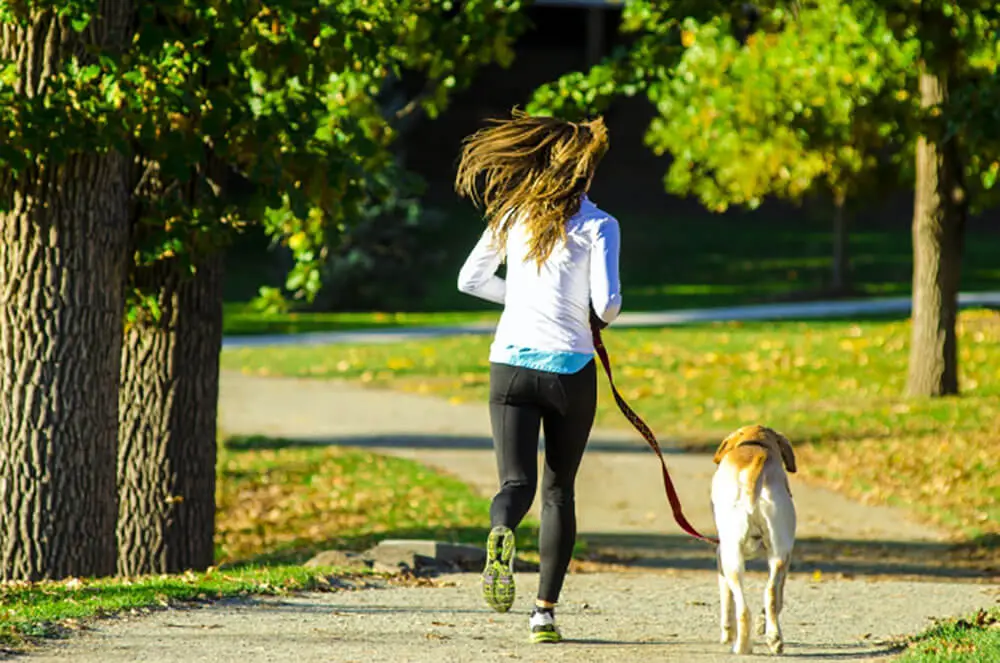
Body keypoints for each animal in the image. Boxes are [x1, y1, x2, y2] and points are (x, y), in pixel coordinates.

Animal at [712, 426, 796, 652]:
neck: (755, 443)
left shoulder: (720, 557)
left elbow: (726, 601)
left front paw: (726, 634)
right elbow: (779, 598)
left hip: (731, 560)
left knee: (742, 608)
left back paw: (741, 647)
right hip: (779, 556)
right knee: (771, 594)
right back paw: (773, 638)